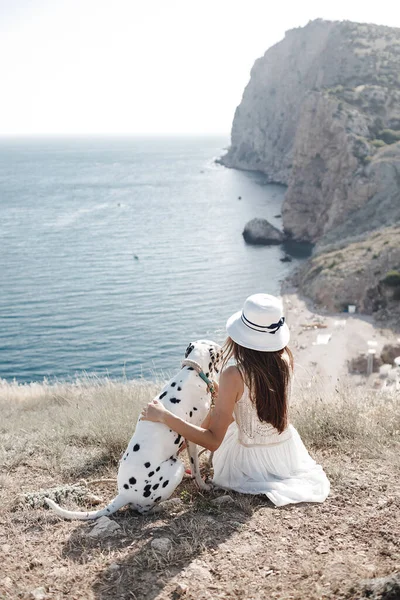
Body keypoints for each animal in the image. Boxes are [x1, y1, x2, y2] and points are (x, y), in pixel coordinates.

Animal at [46, 340, 225, 516]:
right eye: (220, 351)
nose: (223, 348)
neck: (192, 372)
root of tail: (123, 495)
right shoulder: (193, 435)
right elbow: (196, 470)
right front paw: (204, 486)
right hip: (177, 468)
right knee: (143, 509)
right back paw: (168, 504)